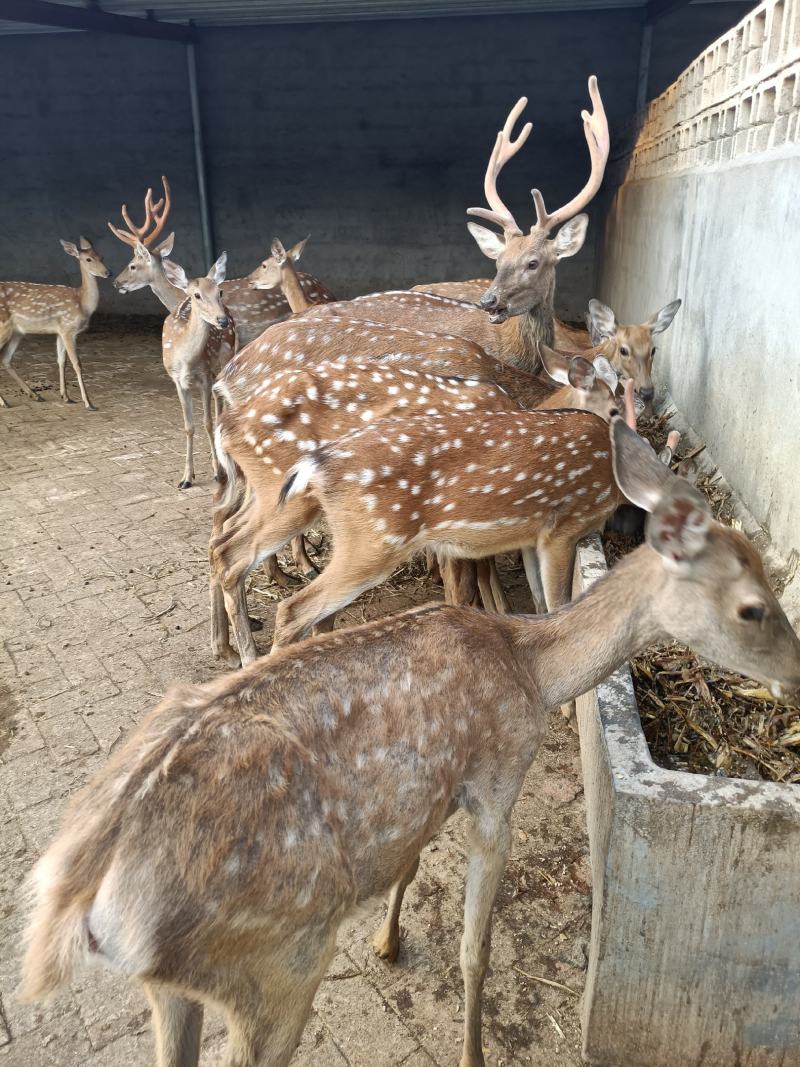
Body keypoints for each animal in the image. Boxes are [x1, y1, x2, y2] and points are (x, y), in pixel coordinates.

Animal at [0, 237, 110, 410]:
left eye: (102, 256)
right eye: (88, 259)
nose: (108, 273)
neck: (82, 303)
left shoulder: (60, 331)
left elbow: (61, 361)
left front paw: (66, 397)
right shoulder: (68, 328)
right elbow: (77, 363)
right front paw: (88, 403)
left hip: (17, 332)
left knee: (6, 359)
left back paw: (35, 395)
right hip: (3, 325)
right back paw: (4, 402)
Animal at [21, 417, 800, 1067]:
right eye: (753, 607)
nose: (797, 668)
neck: (531, 669)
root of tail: (81, 903)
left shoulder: (434, 790)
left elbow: (411, 862)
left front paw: (388, 940)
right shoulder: (496, 783)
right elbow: (474, 947)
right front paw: (473, 1053)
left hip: (168, 988)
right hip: (277, 962)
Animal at [159, 253, 236, 489]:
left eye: (219, 292)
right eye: (197, 295)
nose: (222, 320)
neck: (186, 360)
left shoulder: (205, 378)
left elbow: (207, 423)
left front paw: (218, 472)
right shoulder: (177, 381)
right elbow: (189, 426)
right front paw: (186, 477)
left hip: (225, 357)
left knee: (221, 401)